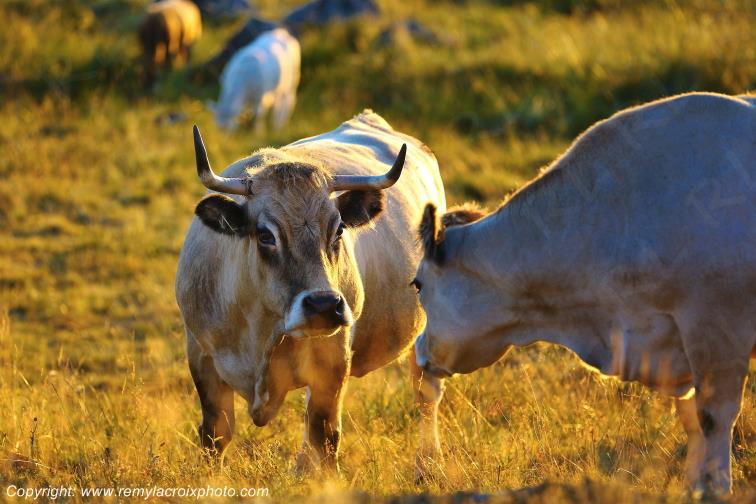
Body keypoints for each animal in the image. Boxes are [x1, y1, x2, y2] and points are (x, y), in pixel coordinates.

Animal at [176, 111, 447, 474]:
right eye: (265, 235)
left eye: (339, 229)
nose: (323, 304)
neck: (263, 328)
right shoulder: (201, 356)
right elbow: (215, 434)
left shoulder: (332, 360)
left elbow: (325, 436)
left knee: (426, 393)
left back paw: (428, 462)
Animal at [413, 93, 755, 496]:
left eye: (417, 284)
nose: (418, 353)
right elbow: (691, 420)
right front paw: (694, 487)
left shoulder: (714, 326)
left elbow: (713, 417)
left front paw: (717, 488)